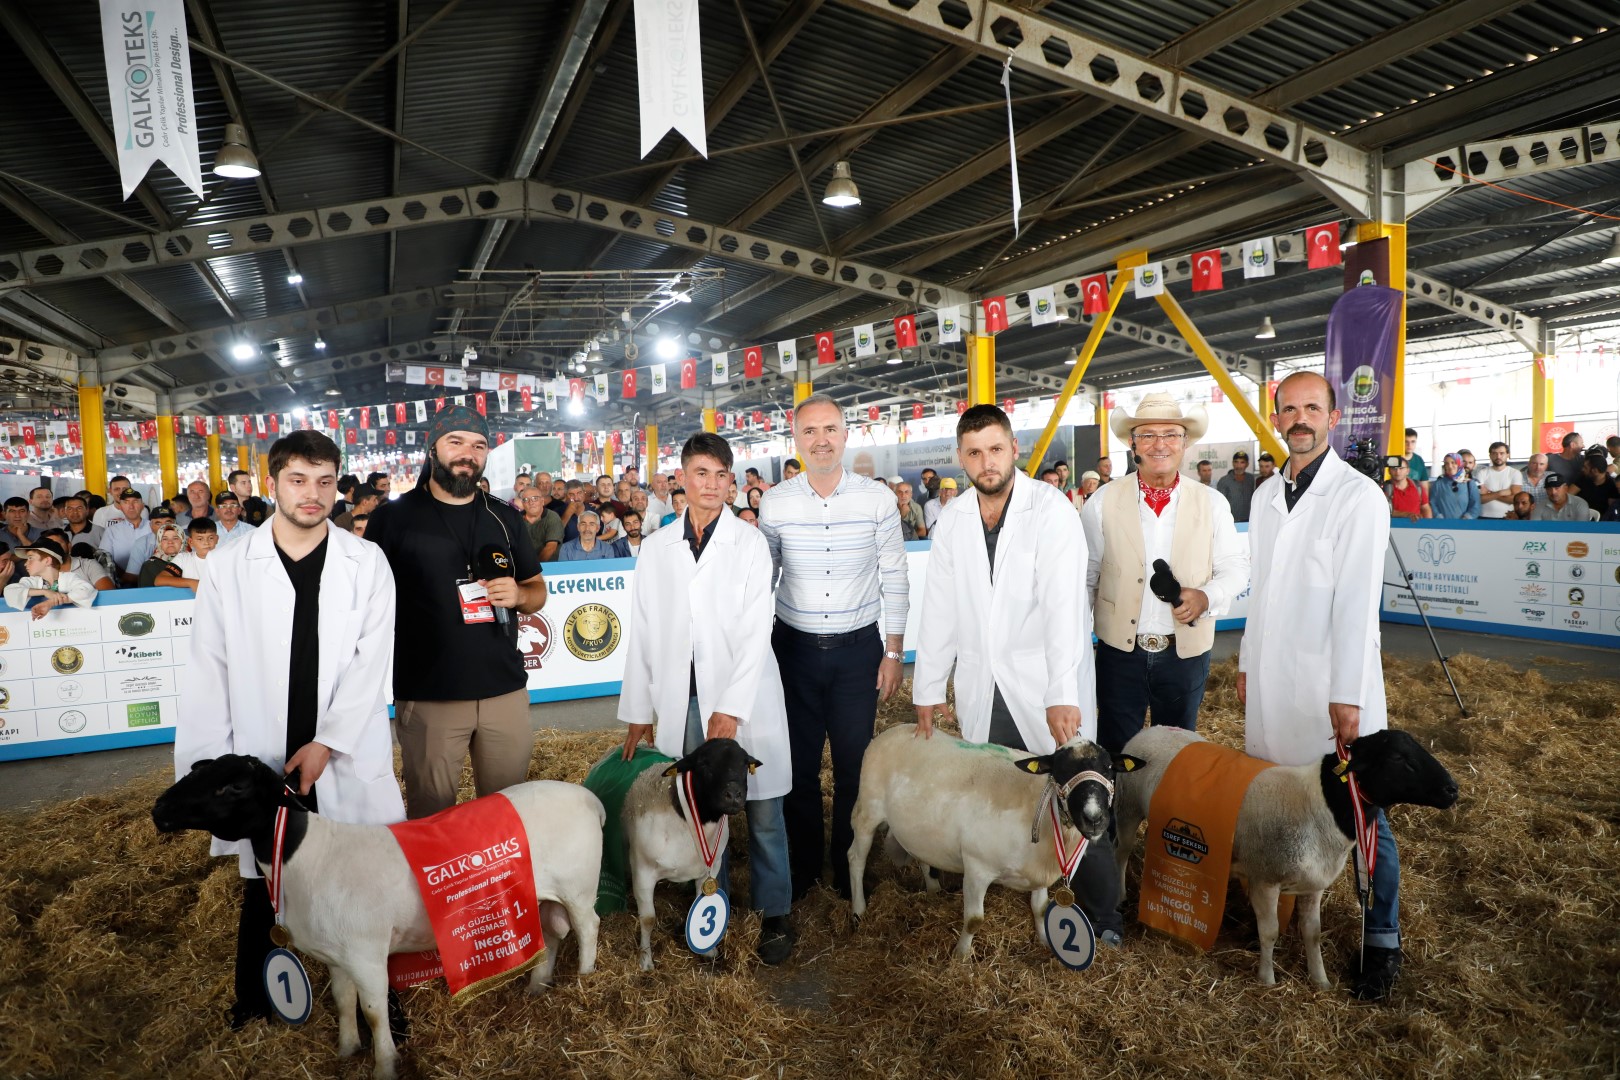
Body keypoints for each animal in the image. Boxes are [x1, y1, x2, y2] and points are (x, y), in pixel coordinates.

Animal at [152, 757, 605, 1080]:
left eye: (233, 786)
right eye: (197, 771)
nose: (158, 810)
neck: (303, 853)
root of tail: (589, 799)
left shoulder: (366, 952)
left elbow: (372, 1009)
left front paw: (384, 1065)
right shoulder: (337, 955)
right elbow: (343, 1000)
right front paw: (347, 1049)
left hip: (578, 885)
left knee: (587, 927)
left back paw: (585, 979)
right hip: (540, 893)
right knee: (552, 932)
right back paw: (538, 986)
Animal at [625, 738, 758, 965]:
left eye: (744, 764)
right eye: (704, 764)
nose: (733, 795)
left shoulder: (710, 869)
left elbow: (702, 901)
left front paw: (707, 951)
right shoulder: (643, 871)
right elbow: (648, 919)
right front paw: (646, 960)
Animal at [842, 725, 1121, 965]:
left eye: (1109, 768)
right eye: (1061, 771)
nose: (1094, 818)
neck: (1039, 811)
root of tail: (892, 730)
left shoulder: (1039, 869)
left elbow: (1040, 909)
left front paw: (1044, 940)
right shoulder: (977, 868)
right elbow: (974, 920)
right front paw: (961, 956)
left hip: (918, 827)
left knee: (921, 855)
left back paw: (933, 889)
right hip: (868, 811)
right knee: (856, 857)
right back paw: (859, 910)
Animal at [1114, 725, 1458, 990]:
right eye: (1399, 758)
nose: (1452, 789)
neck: (1321, 805)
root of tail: (1153, 728)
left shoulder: (1313, 884)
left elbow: (1313, 933)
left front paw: (1320, 980)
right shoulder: (1265, 880)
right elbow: (1269, 932)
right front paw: (1267, 979)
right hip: (1127, 808)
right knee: (1121, 852)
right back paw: (1120, 895)